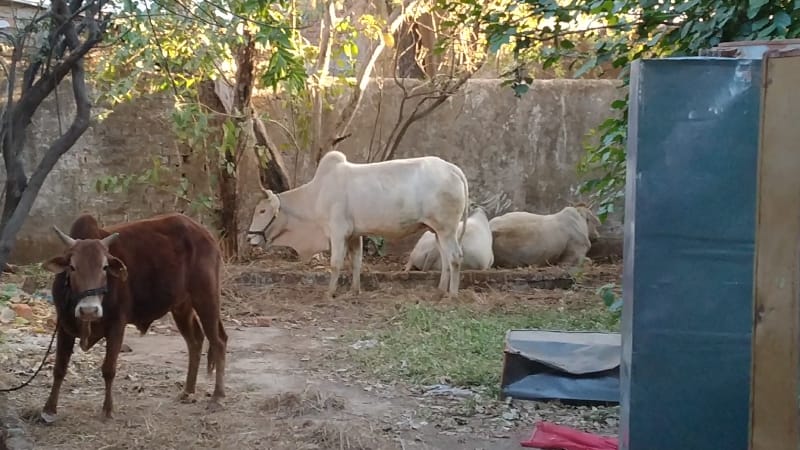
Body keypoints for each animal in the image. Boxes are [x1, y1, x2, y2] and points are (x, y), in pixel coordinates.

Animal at [41, 212, 228, 422]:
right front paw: (49, 409)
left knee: (218, 341)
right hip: (182, 307)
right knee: (195, 342)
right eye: (72, 267)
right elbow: (59, 368)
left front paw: (107, 410)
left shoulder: (117, 325)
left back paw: (218, 397)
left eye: (104, 267)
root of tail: (205, 233)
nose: (89, 310)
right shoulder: (64, 326)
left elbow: (109, 369)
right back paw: (188, 391)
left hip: (206, 298)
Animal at [244, 151, 468, 298]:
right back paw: (440, 291)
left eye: (262, 211)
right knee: (446, 259)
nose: (249, 237)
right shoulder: (354, 235)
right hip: (438, 231)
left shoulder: (337, 232)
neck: (316, 194)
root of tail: (452, 168)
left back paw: (452, 295)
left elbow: (335, 264)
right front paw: (354, 291)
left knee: (455, 258)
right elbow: (356, 262)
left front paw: (330, 293)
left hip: (446, 230)